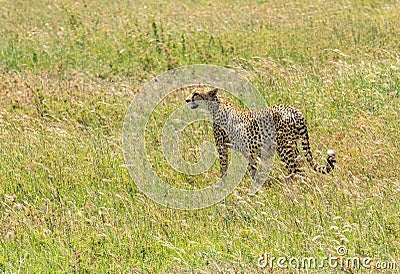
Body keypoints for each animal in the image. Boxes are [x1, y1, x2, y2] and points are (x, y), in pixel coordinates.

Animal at [186, 86, 336, 179]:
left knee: (294, 170)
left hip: (283, 147)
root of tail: (296, 111)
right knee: (300, 167)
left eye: (196, 94)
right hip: (293, 146)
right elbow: (252, 169)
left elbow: (223, 167)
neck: (215, 105)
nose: (186, 100)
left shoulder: (222, 146)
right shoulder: (251, 152)